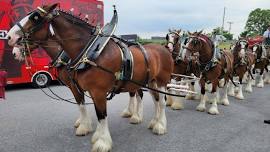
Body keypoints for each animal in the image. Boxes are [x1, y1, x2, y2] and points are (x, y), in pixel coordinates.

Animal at [7, 3, 173, 152]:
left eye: (35, 17)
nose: (9, 37)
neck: (90, 52)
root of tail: (163, 48)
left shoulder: (98, 91)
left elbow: (101, 115)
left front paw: (102, 142)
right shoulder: (80, 88)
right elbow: (83, 106)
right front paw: (87, 128)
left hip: (161, 81)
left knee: (160, 102)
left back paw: (157, 125)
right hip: (149, 81)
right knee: (154, 100)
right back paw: (153, 121)